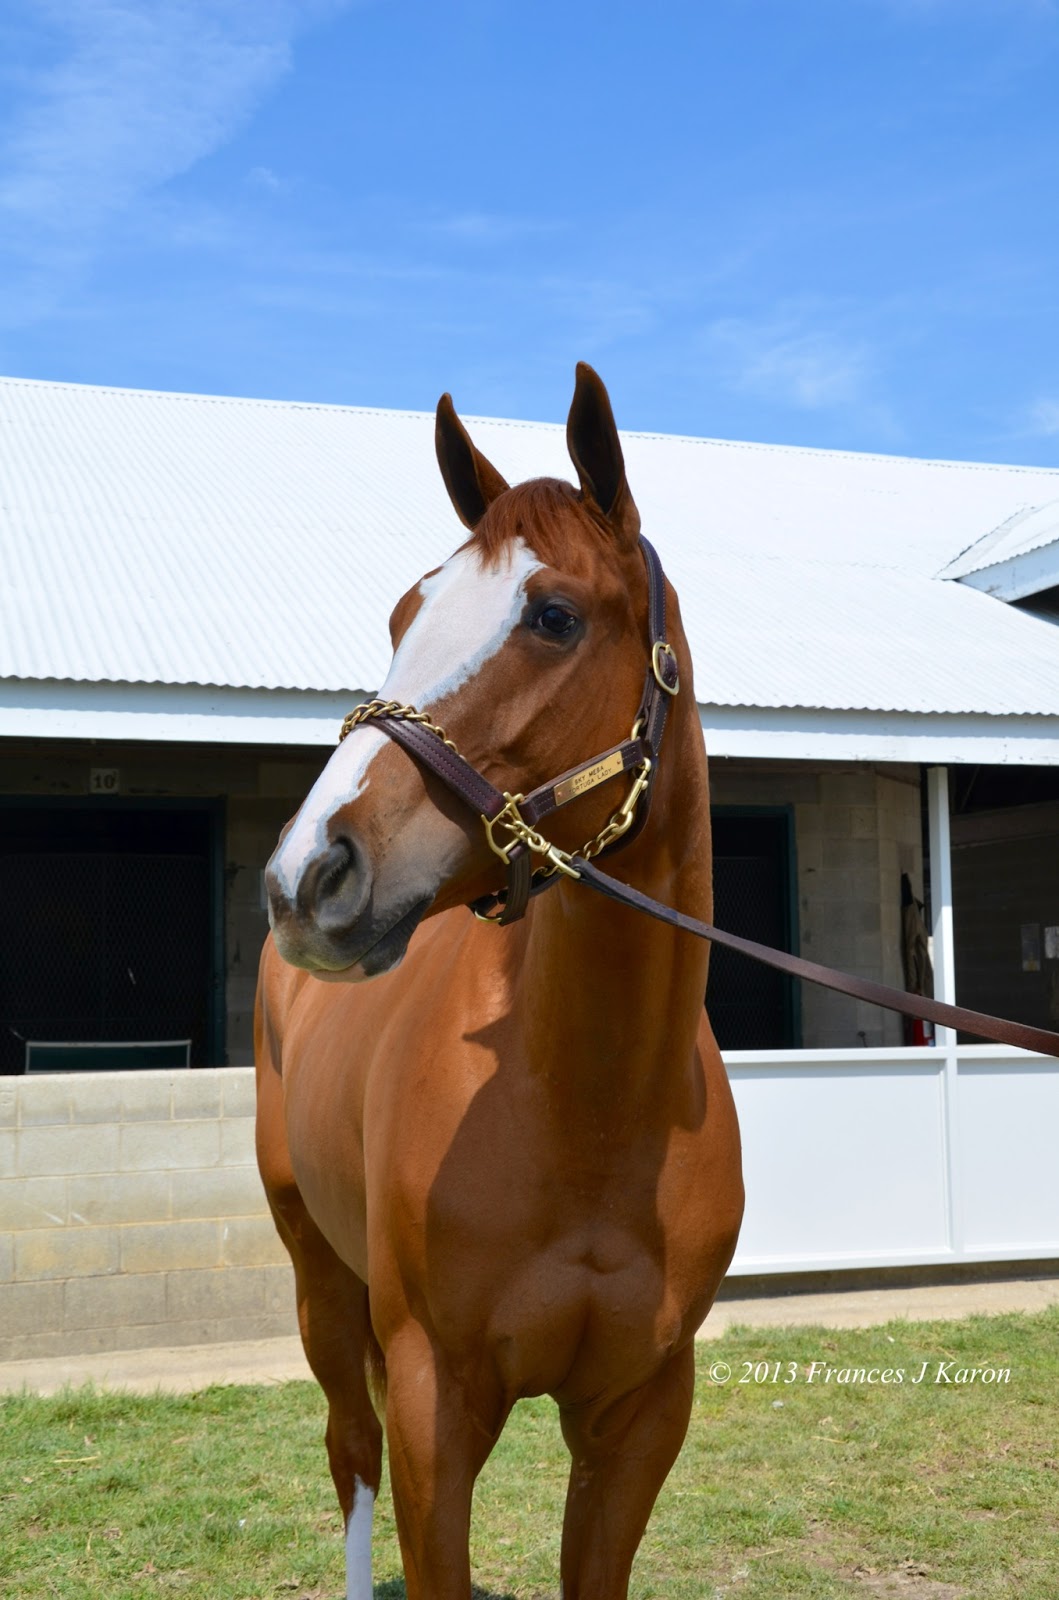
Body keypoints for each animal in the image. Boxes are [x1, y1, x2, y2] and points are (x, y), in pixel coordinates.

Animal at [255, 363, 744, 1600]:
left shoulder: (638, 1411)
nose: (306, 874)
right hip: (320, 1282)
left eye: (555, 616)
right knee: (350, 1449)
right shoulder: (440, 1403)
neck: (593, 1110)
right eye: (403, 615)